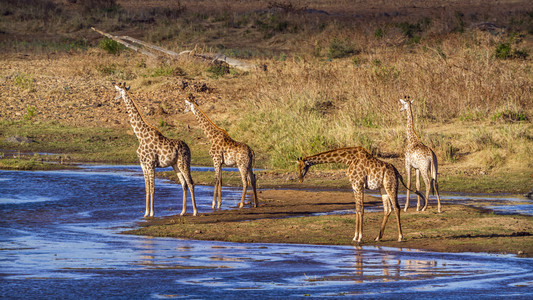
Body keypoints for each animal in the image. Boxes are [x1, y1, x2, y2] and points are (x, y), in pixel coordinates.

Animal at [112, 83, 197, 217]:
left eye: (117, 90)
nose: (114, 98)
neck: (140, 136)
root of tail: (188, 148)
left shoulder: (151, 164)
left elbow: (152, 188)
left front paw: (152, 213)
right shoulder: (143, 165)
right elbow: (147, 188)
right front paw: (146, 213)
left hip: (183, 163)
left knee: (190, 183)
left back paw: (195, 211)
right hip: (175, 165)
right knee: (184, 184)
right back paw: (183, 211)